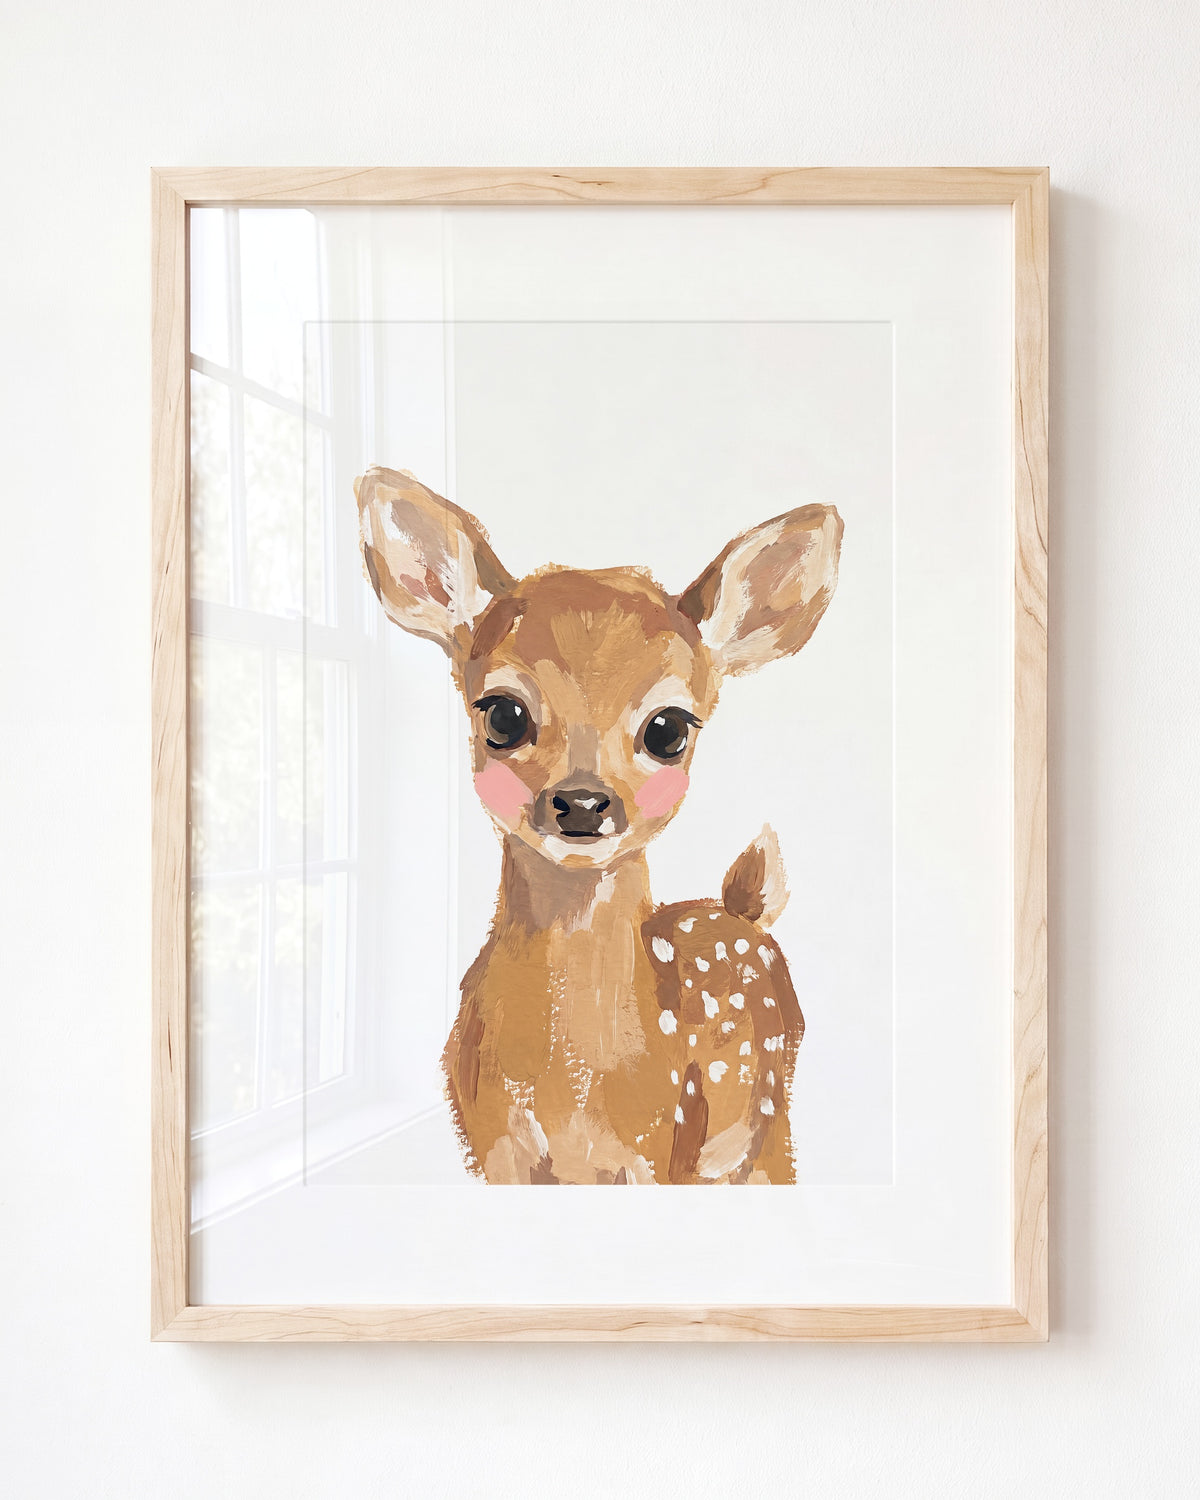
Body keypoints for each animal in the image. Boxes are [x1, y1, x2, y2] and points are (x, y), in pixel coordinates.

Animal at [356, 466, 843, 1184]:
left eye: (669, 728)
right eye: (502, 714)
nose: (583, 803)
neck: (574, 1089)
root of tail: (743, 910)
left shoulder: (660, 1146)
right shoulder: (492, 1148)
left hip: (769, 1119)